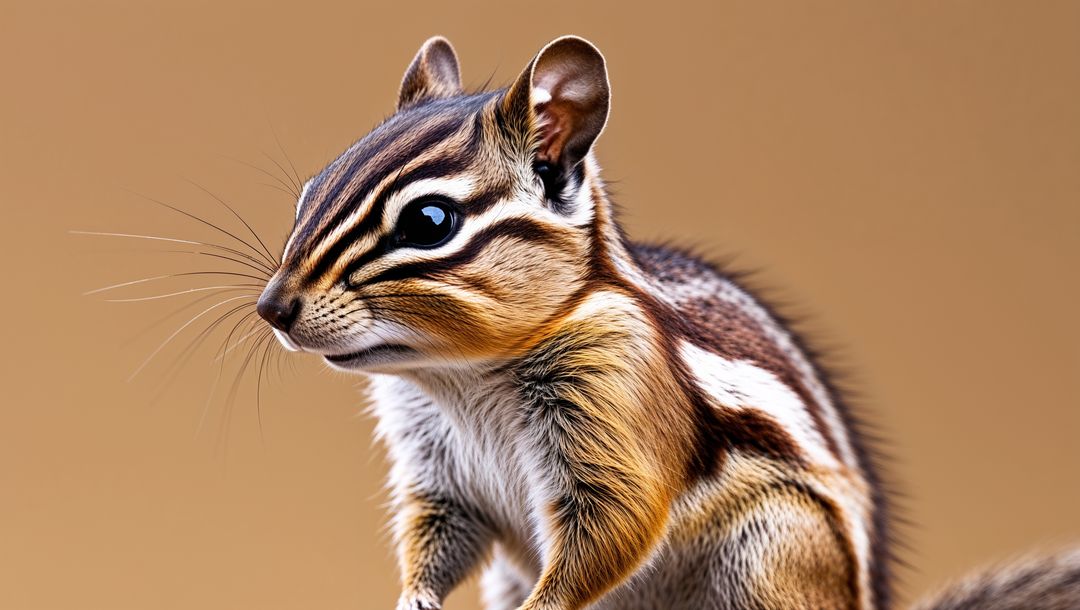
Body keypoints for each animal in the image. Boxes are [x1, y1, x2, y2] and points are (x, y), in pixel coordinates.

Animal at [254, 36, 1080, 610]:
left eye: (430, 222)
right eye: (310, 192)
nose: (273, 307)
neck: (461, 376)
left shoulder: (619, 412)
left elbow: (614, 527)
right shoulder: (438, 472)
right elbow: (436, 538)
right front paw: (414, 599)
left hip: (772, 552)